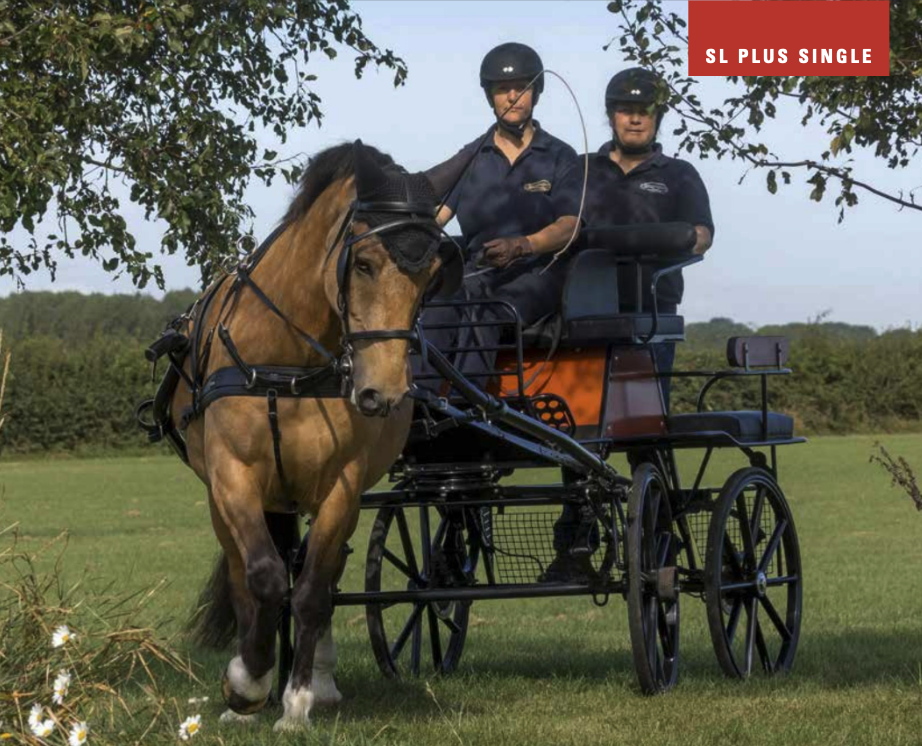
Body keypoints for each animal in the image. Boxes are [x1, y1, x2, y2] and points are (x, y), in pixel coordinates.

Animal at [161, 141, 447, 730]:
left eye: (432, 274)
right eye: (363, 262)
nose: (383, 393)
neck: (285, 362)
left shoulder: (343, 486)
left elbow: (313, 591)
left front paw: (296, 701)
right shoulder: (232, 478)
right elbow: (264, 577)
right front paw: (246, 684)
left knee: (325, 573)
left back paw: (319, 679)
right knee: (246, 573)